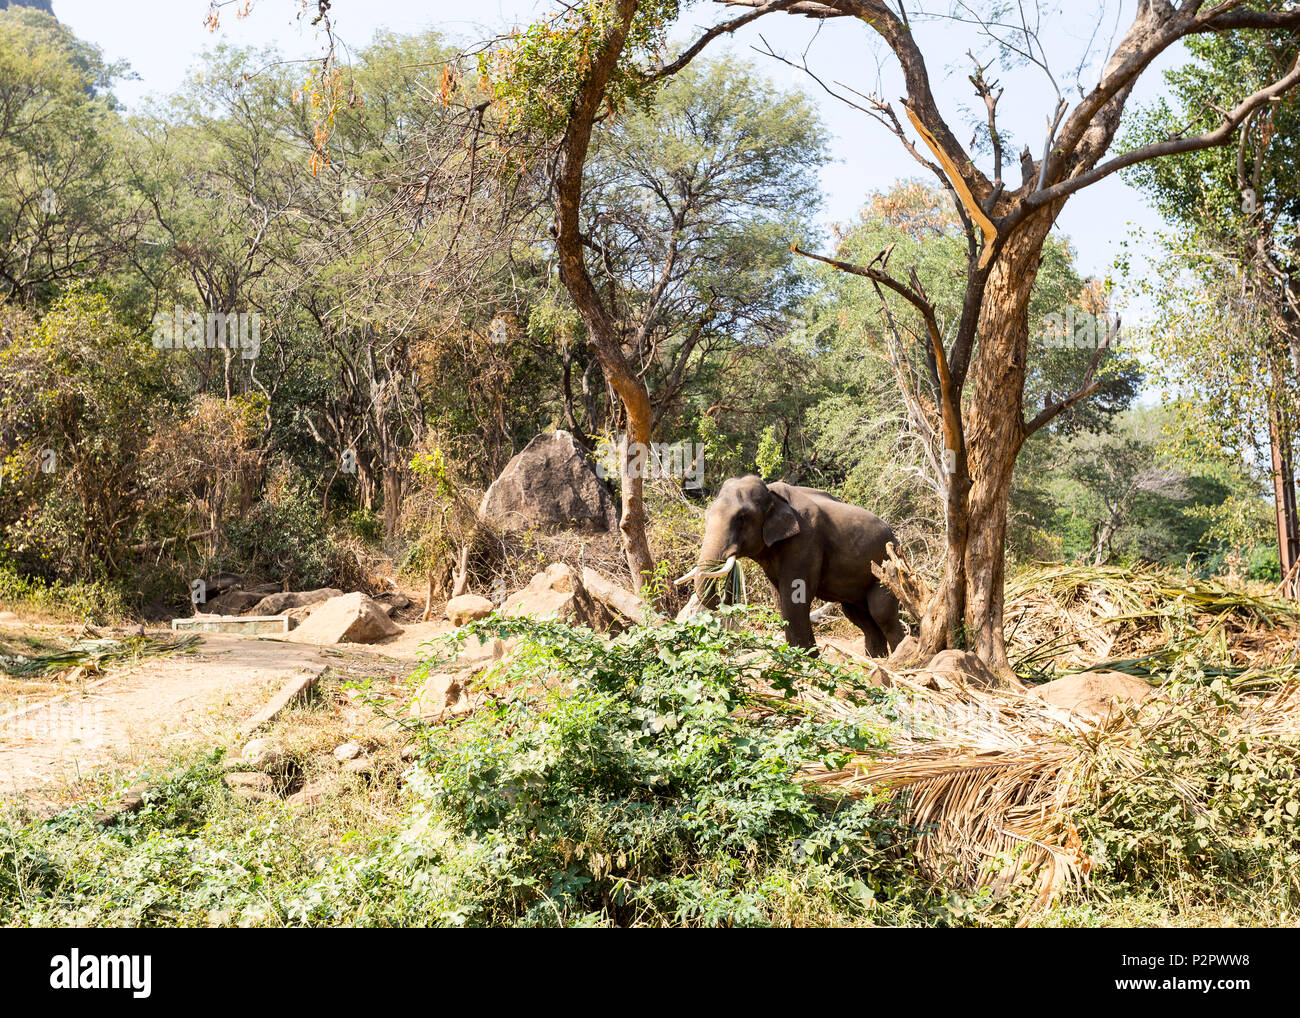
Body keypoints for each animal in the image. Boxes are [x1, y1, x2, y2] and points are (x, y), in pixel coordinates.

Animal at [681, 475, 904, 657]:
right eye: (707, 515)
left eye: (741, 518)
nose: (725, 598)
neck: (772, 494)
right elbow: (779, 597)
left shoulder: (805, 540)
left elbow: (795, 594)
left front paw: (805, 657)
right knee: (858, 616)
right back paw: (876, 659)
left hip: (885, 569)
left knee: (882, 613)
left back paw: (898, 658)